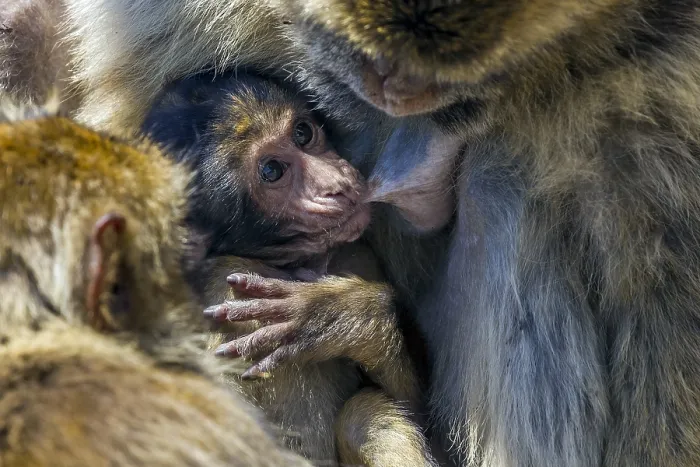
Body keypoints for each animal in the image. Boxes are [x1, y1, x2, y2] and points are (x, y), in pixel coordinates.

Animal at [141, 69, 437, 466]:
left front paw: (337, 315)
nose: (338, 184)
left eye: (302, 133)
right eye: (271, 170)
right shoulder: (219, 287)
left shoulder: (357, 257)